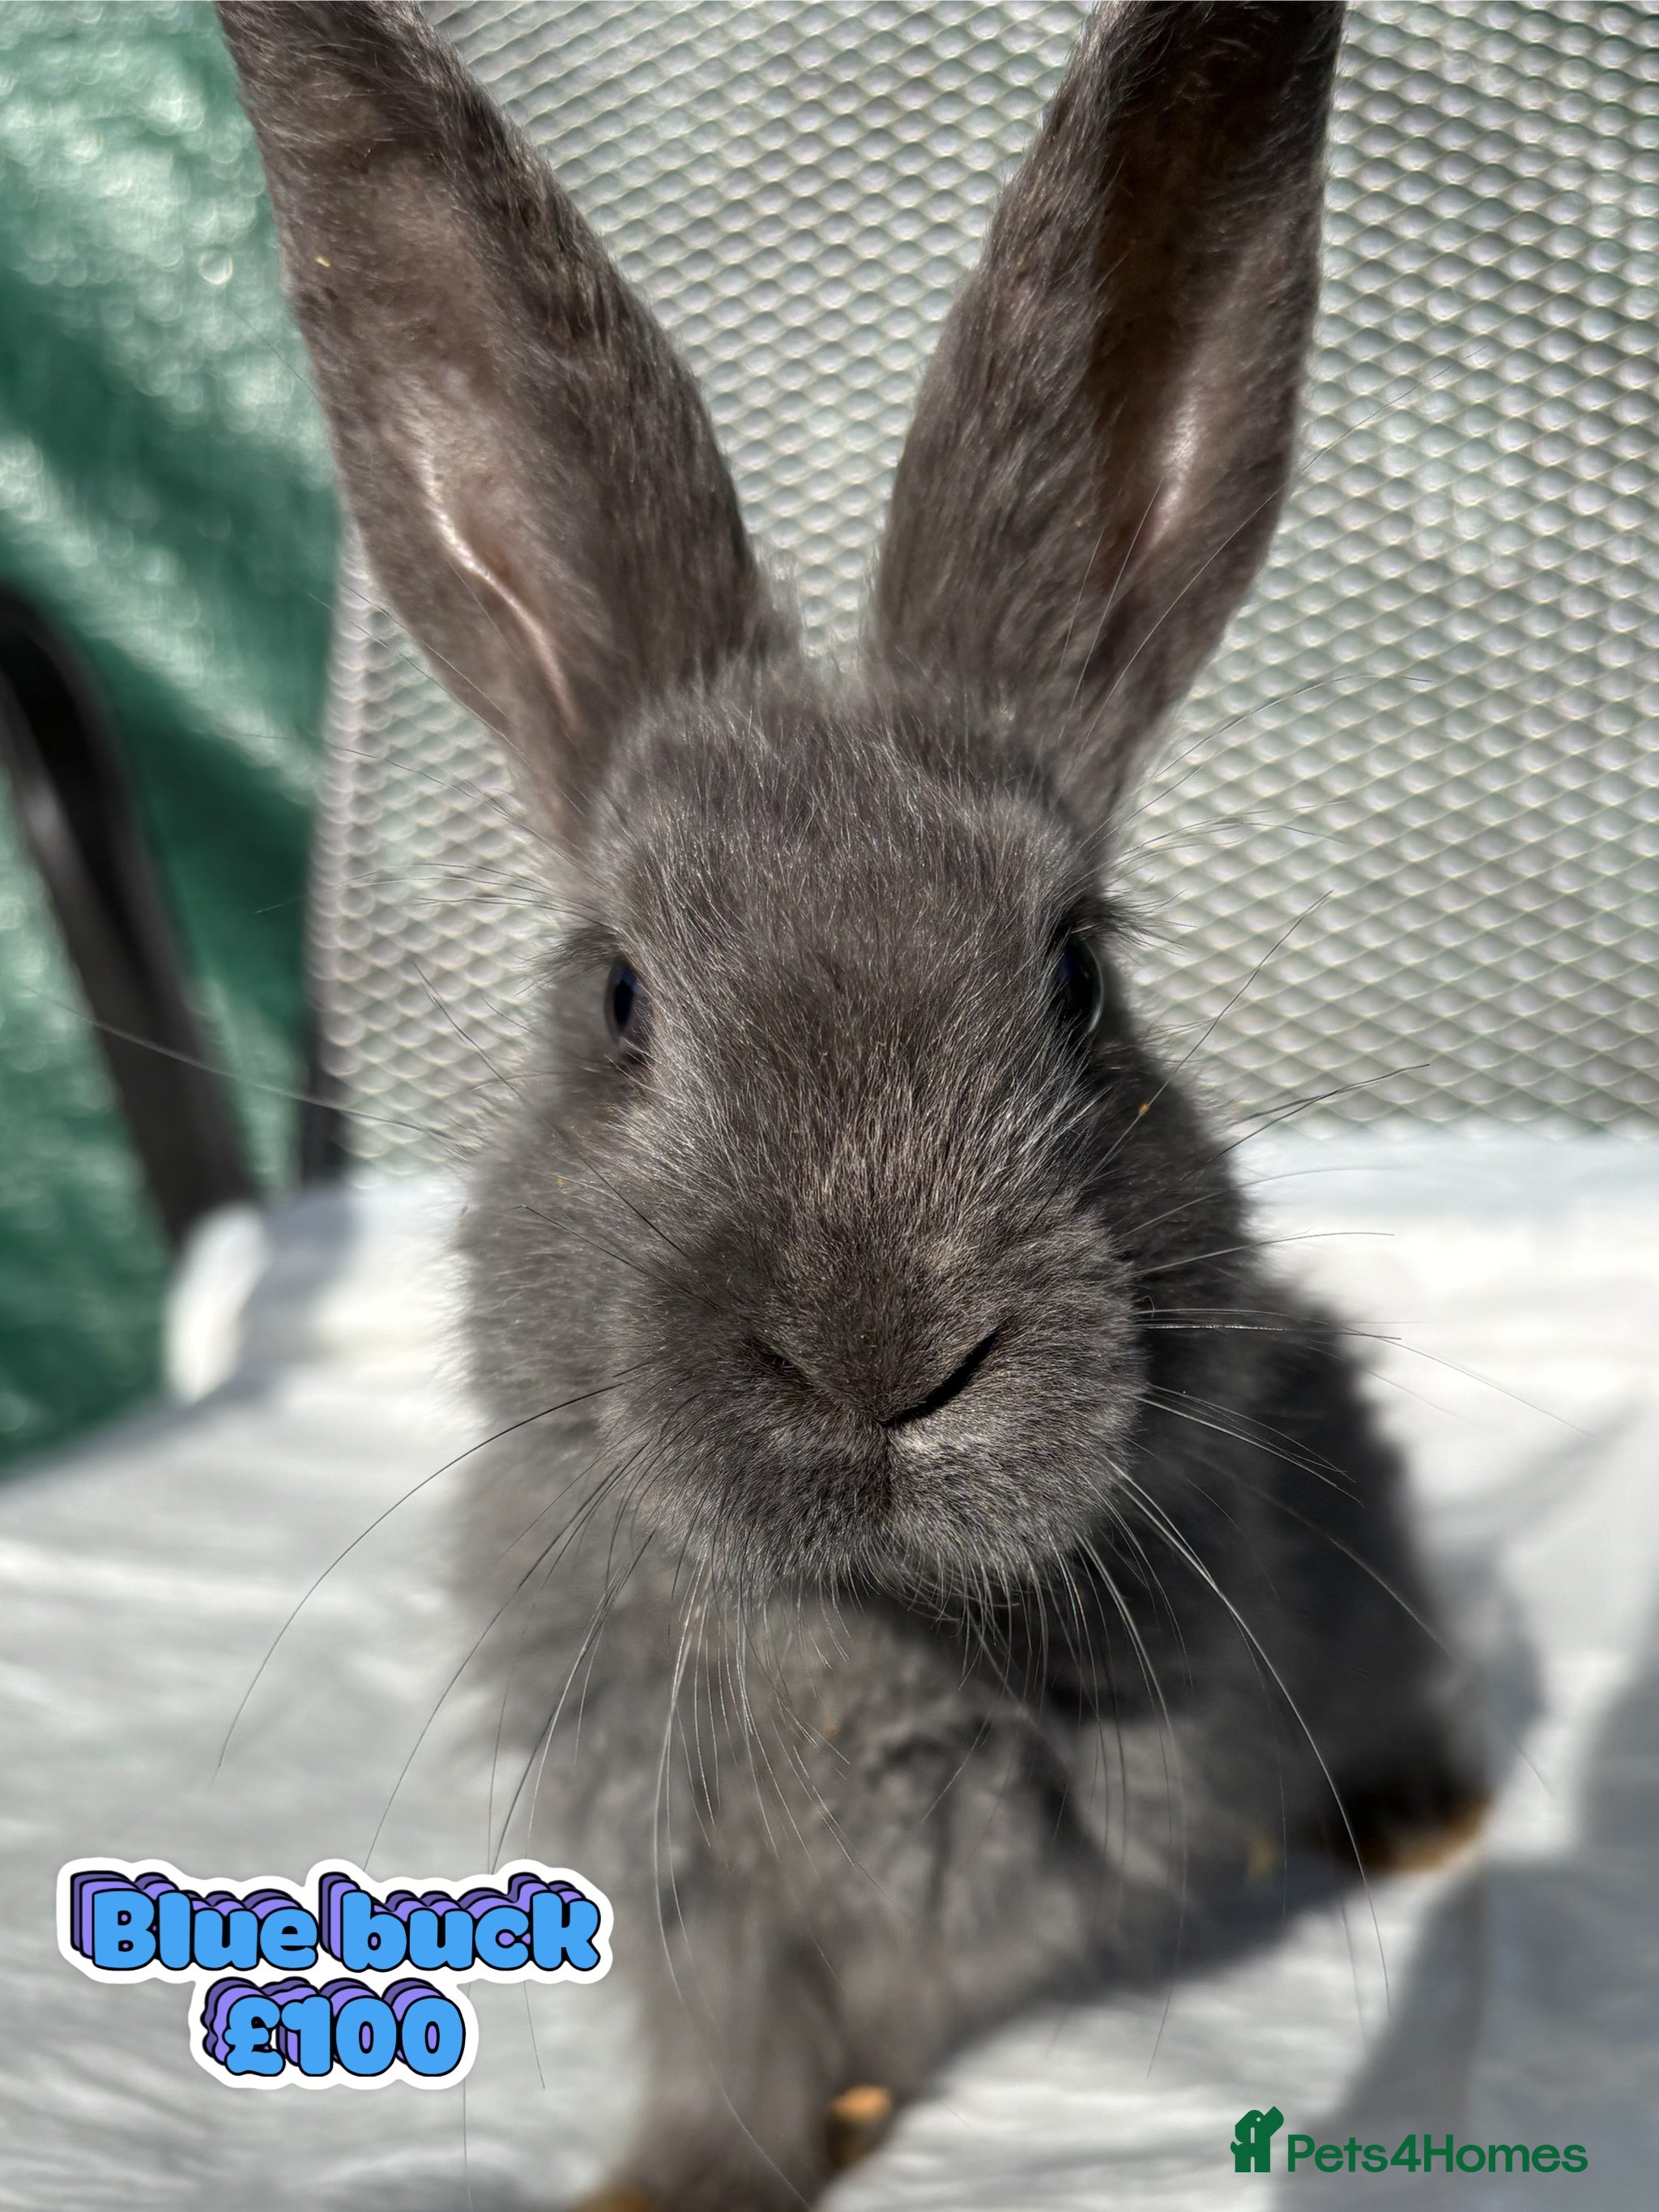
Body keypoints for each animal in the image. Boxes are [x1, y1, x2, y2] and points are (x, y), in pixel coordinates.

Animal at [218, 3, 1484, 2205]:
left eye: (1079, 979)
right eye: (617, 1000)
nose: (880, 1356)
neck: (868, 1614)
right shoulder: (693, 1894)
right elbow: (741, 2048)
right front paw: (676, 2183)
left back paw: (1420, 1817)